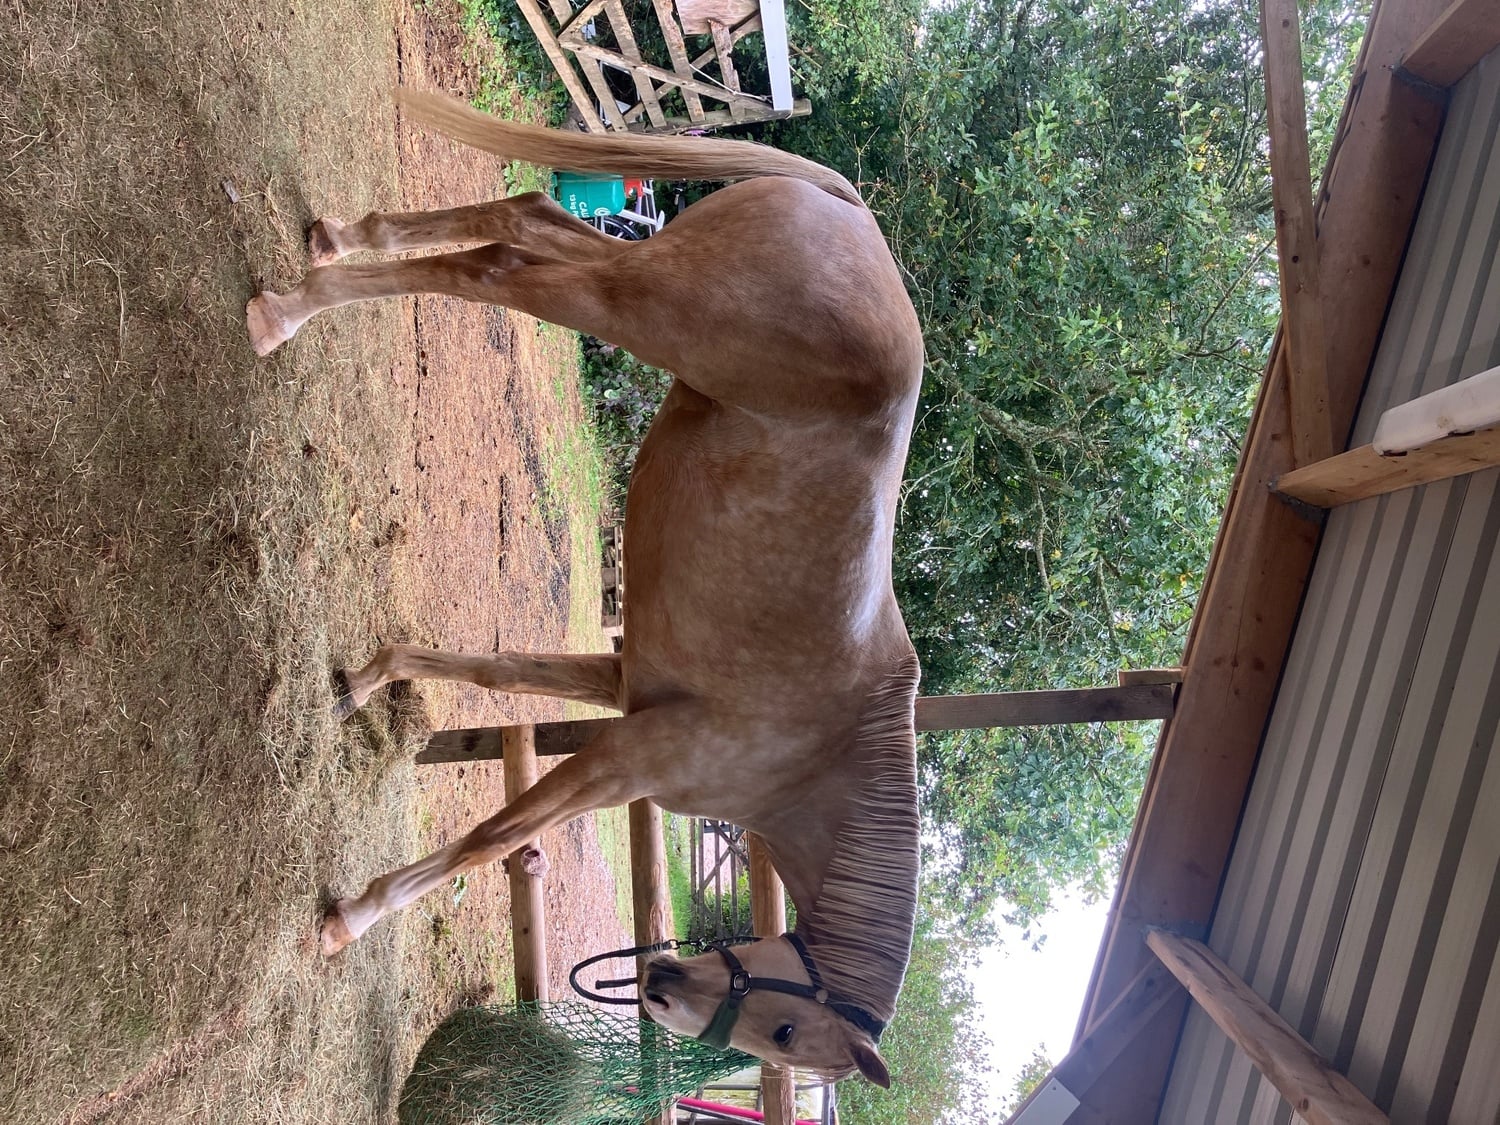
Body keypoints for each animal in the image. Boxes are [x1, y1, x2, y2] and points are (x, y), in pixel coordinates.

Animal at [247, 91, 924, 1087]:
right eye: (786, 1032)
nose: (660, 984)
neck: (818, 758)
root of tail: (852, 209)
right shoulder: (624, 759)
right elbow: (493, 838)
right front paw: (352, 916)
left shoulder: (619, 678)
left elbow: (496, 670)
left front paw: (368, 677)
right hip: (637, 300)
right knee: (498, 266)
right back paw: (284, 312)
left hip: (632, 270)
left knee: (524, 218)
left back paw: (335, 240)